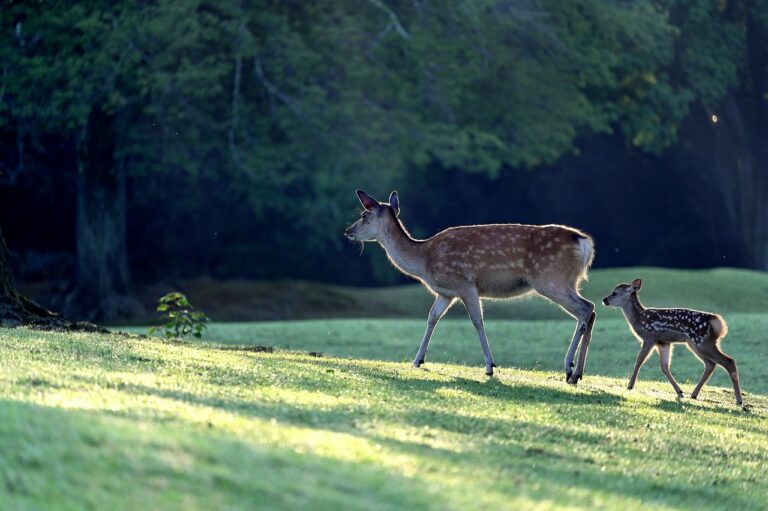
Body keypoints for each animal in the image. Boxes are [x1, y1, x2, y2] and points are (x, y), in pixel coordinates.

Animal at [344, 189, 596, 382]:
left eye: (364, 215)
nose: (347, 231)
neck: (424, 260)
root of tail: (585, 243)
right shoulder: (446, 293)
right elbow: (432, 318)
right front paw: (417, 360)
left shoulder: (465, 284)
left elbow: (477, 321)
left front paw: (490, 366)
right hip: (567, 281)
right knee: (590, 309)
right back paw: (578, 373)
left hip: (550, 279)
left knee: (585, 308)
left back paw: (569, 368)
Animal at [603, 279, 742, 405]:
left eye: (614, 292)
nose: (604, 299)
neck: (638, 319)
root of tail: (718, 323)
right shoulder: (663, 342)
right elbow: (664, 366)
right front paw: (680, 392)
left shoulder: (650, 337)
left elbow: (639, 360)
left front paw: (629, 386)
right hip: (695, 344)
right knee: (710, 364)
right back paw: (693, 394)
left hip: (702, 342)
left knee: (728, 361)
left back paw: (739, 400)